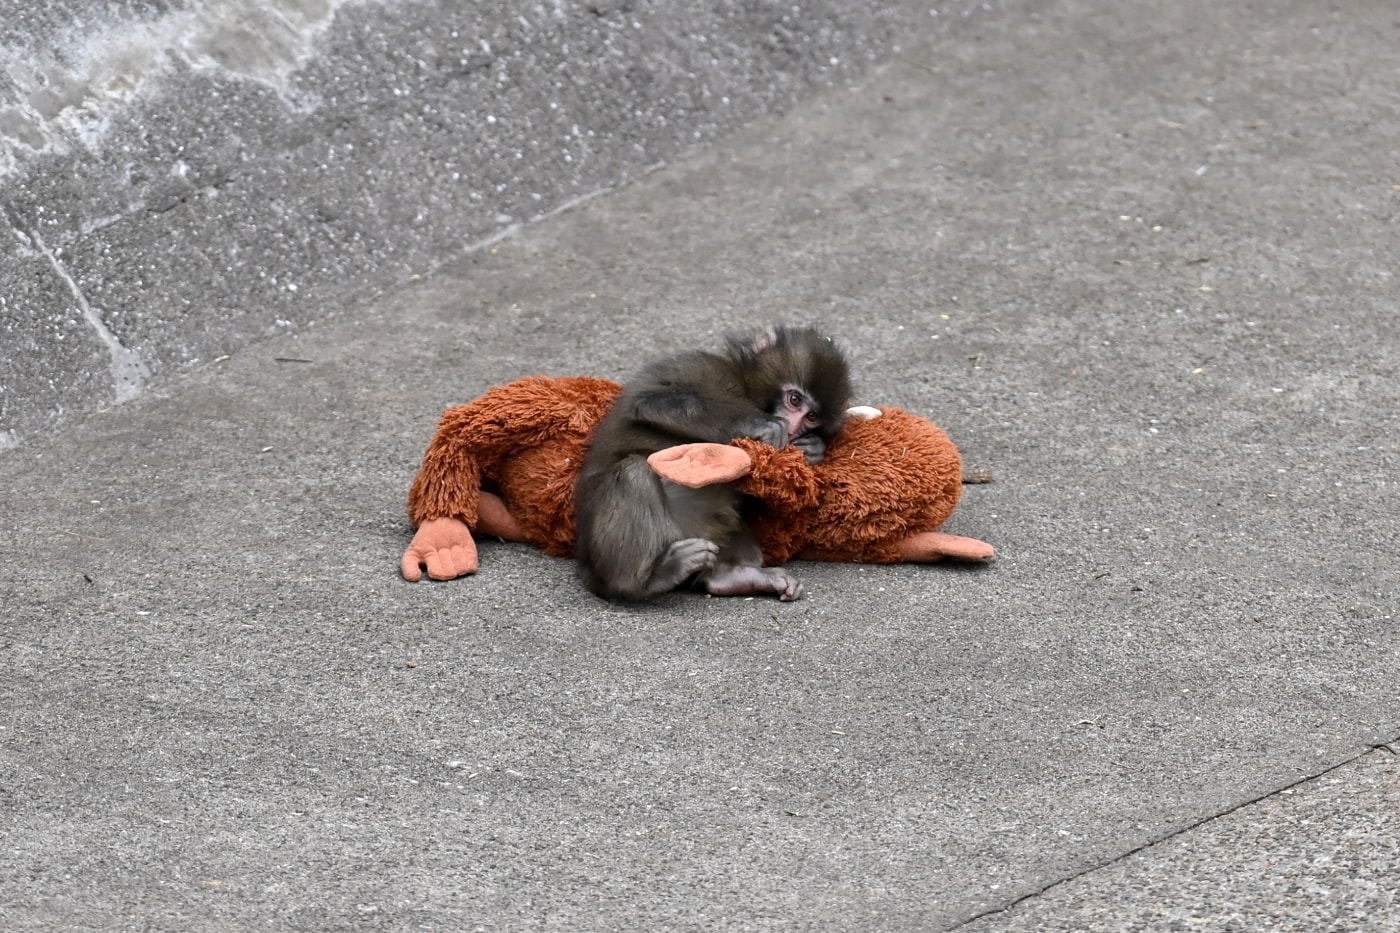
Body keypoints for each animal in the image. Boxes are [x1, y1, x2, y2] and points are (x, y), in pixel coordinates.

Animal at [574, 325, 853, 602]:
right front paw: (760, 424)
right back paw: (646, 580)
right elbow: (652, 401)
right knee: (633, 472)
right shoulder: (698, 366)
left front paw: (814, 449)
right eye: (794, 400)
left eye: (812, 417)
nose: (794, 429)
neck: (742, 385)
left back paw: (731, 577)